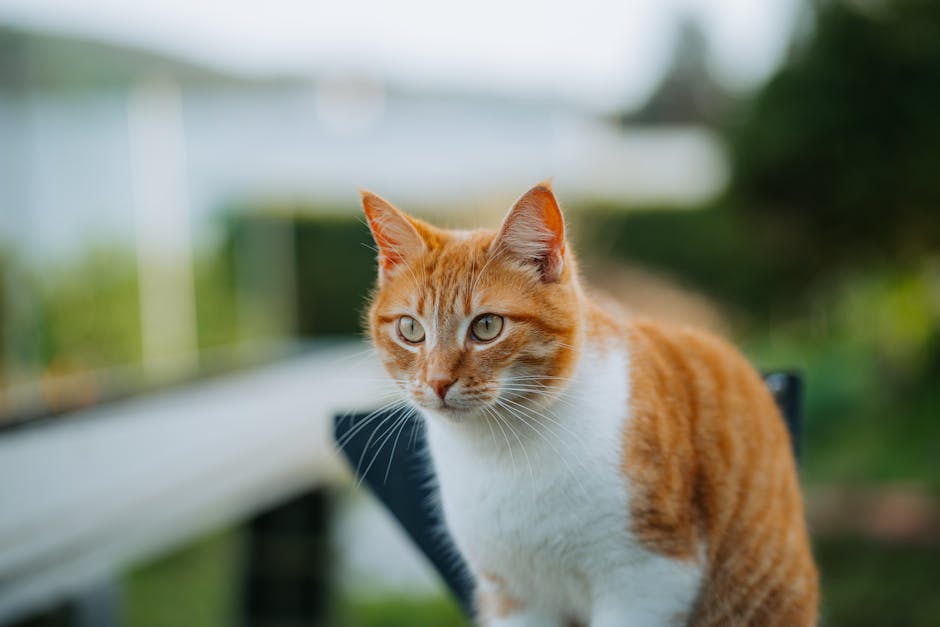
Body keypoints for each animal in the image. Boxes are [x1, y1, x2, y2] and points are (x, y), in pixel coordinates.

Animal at [364, 183, 820, 627]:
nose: (437, 382)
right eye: (410, 330)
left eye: (487, 326)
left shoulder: (649, 577)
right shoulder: (512, 595)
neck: (500, 451)